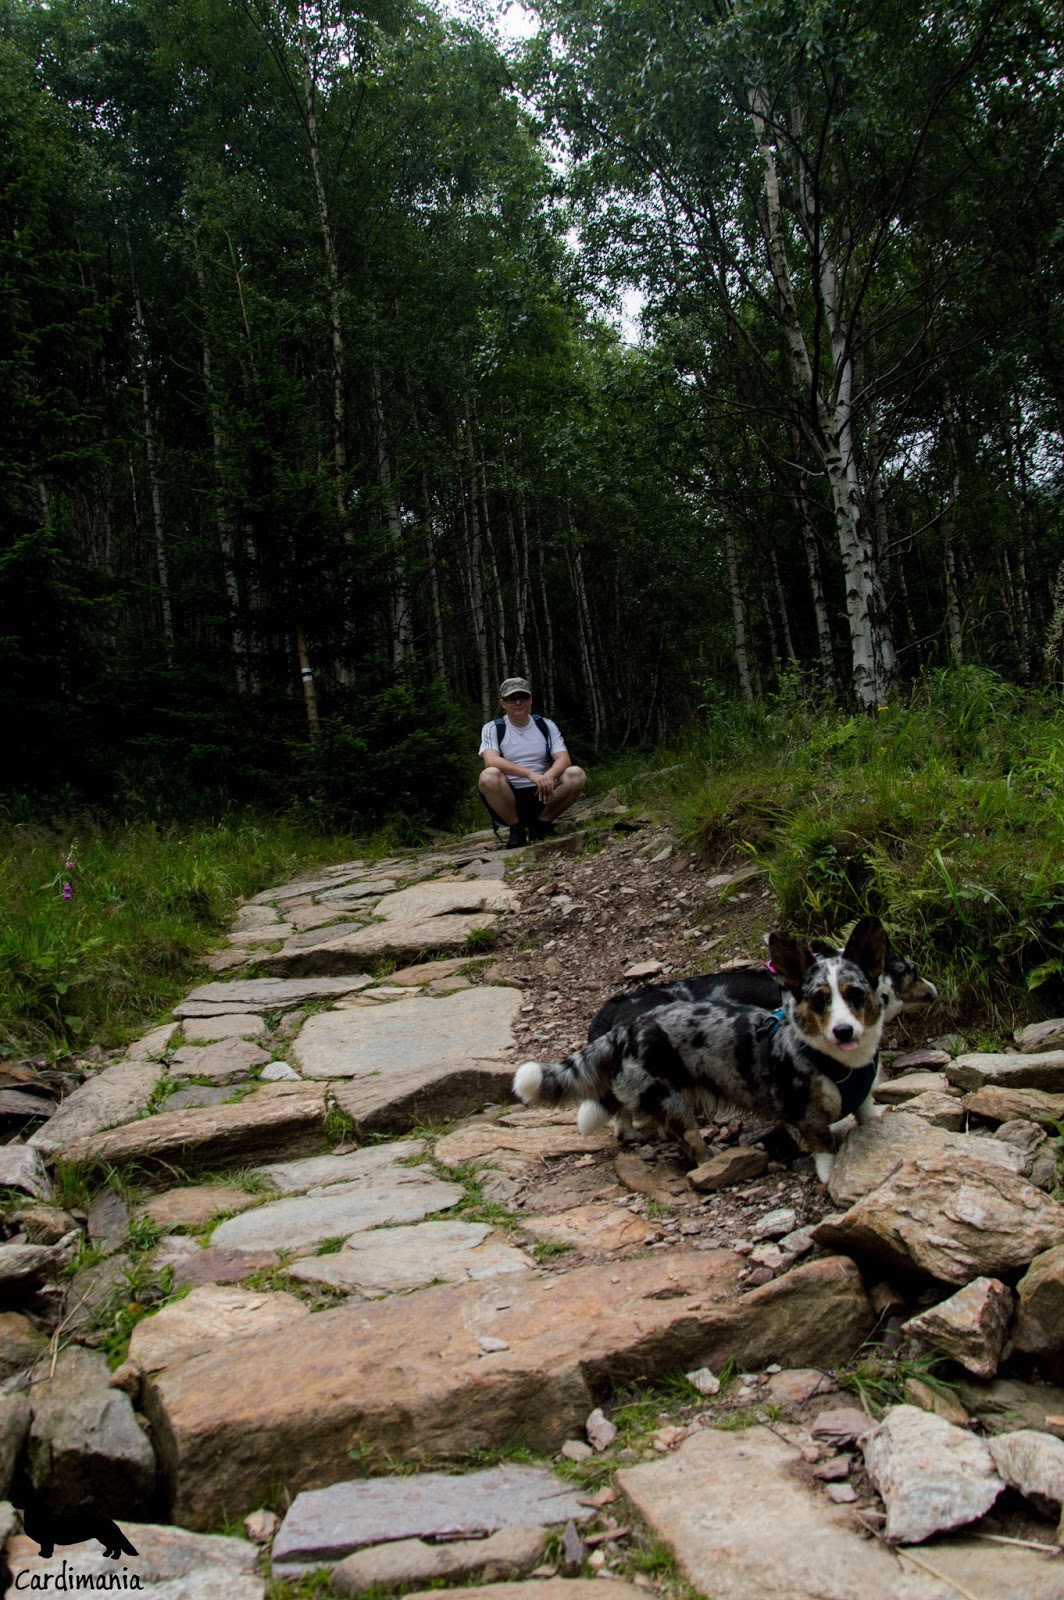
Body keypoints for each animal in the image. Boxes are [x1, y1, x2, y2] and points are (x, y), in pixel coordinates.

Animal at [514, 916, 889, 1182]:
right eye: (818, 999)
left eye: (855, 994)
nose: (843, 1031)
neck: (840, 1063)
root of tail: (625, 1029)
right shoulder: (805, 1112)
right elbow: (823, 1143)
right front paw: (828, 1174)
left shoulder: (863, 1100)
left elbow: (868, 1118)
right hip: (673, 1102)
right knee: (686, 1138)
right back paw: (711, 1161)